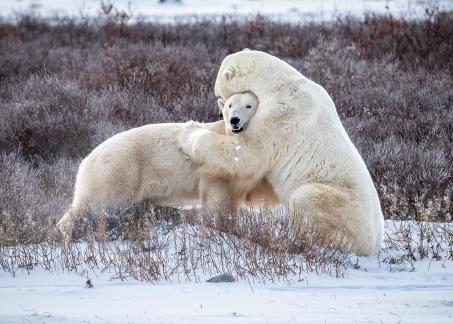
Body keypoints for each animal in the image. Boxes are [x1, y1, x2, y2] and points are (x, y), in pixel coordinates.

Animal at [178, 50, 384, 256]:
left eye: (218, 94)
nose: (222, 114)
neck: (278, 82)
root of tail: (373, 245)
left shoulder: (282, 113)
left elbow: (249, 151)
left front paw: (189, 132)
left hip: (339, 204)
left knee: (306, 200)